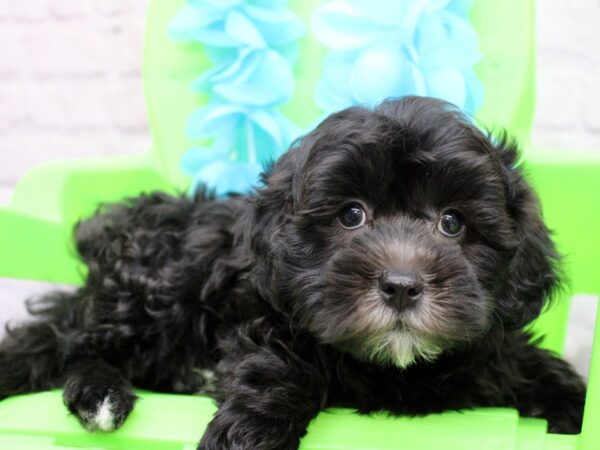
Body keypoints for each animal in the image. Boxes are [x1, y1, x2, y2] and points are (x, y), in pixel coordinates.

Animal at [0, 96, 584, 448]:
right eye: (351, 215)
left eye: (453, 222)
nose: (400, 286)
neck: (394, 367)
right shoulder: (261, 314)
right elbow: (279, 364)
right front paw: (249, 431)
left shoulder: (494, 352)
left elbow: (534, 368)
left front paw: (575, 404)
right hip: (158, 285)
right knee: (64, 341)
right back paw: (99, 394)